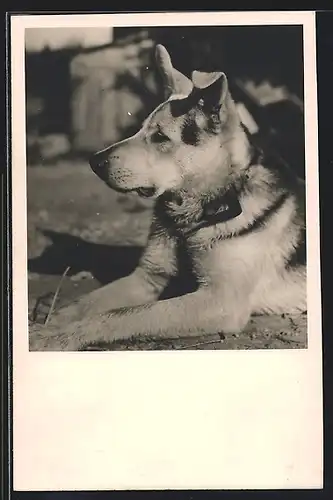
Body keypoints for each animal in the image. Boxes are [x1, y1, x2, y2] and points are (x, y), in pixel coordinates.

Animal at [29, 46, 306, 352]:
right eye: (139, 129)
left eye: (160, 137)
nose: (94, 162)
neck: (196, 212)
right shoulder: (148, 277)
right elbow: (86, 302)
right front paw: (53, 320)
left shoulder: (220, 300)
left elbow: (116, 316)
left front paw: (61, 335)